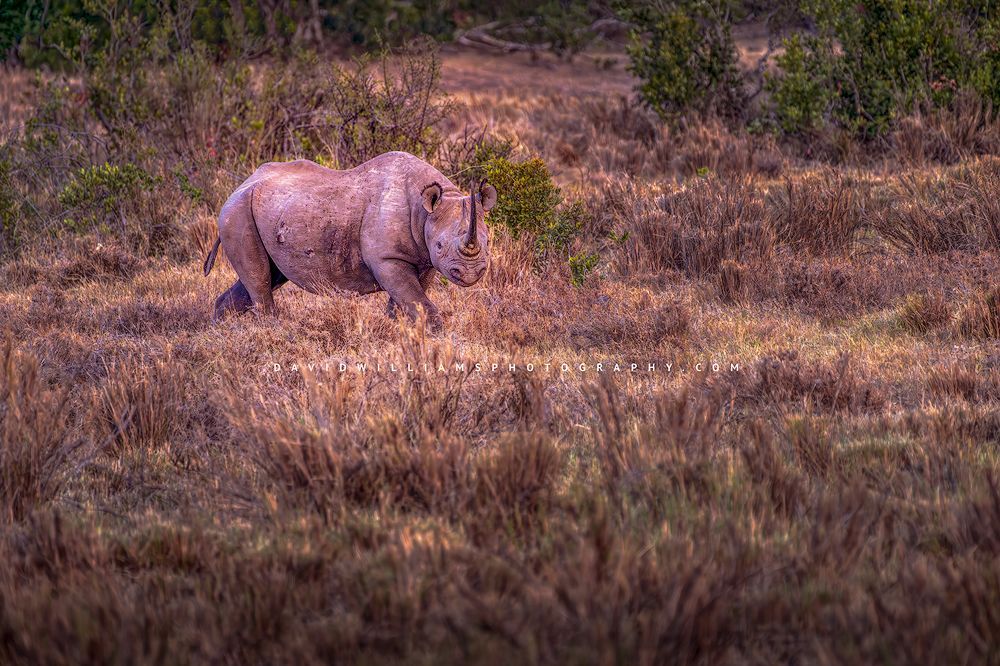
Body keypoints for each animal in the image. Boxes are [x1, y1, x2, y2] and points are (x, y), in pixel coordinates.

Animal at [202, 151, 496, 329]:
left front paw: (396, 329)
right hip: (236, 212)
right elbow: (417, 301)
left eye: (488, 243)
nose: (470, 273)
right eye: (440, 245)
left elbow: (408, 299)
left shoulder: (423, 259)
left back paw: (220, 328)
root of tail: (241, 184)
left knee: (266, 275)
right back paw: (273, 329)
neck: (425, 213)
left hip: (259, 210)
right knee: (261, 280)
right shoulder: (388, 258)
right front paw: (436, 335)